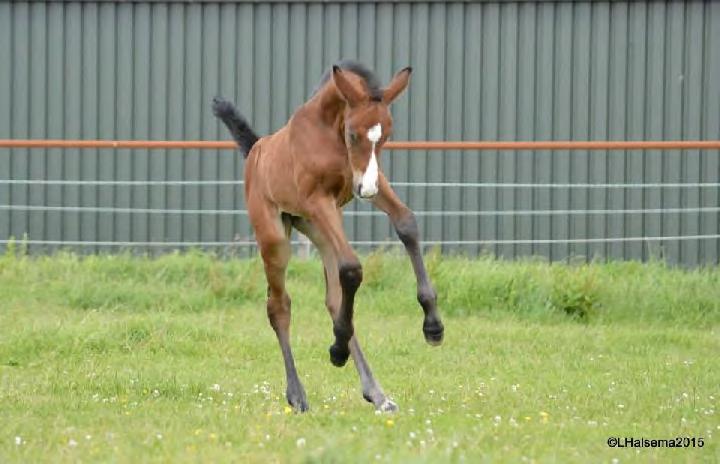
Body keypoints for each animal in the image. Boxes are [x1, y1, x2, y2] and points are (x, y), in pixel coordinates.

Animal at [211, 59, 442, 412]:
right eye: (353, 133)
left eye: (386, 136)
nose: (366, 190)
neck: (329, 132)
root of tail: (255, 151)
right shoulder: (319, 199)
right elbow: (353, 268)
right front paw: (336, 350)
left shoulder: (370, 180)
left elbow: (407, 224)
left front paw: (433, 326)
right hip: (277, 238)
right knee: (279, 305)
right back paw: (298, 393)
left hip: (319, 229)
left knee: (334, 297)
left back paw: (376, 392)